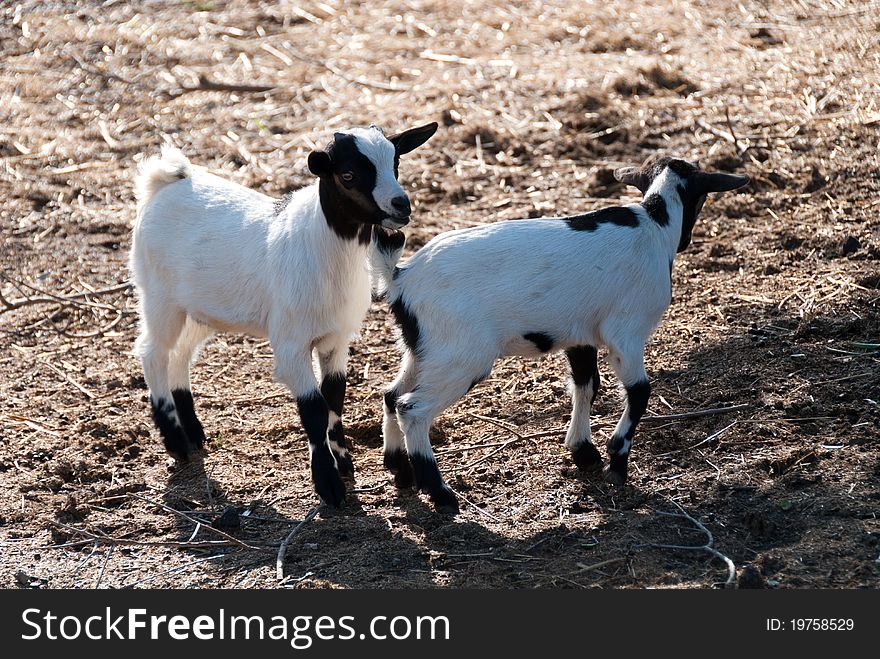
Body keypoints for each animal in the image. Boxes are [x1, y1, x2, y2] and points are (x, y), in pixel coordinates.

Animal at [131, 122, 440, 506]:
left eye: (396, 163)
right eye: (348, 175)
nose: (401, 205)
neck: (325, 247)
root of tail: (166, 181)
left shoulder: (336, 338)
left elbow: (333, 396)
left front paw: (343, 463)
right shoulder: (291, 343)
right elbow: (313, 408)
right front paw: (328, 484)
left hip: (200, 307)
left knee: (180, 354)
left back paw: (193, 431)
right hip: (159, 296)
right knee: (153, 352)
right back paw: (175, 440)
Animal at [372, 155, 748, 510]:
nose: (686, 241)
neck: (654, 225)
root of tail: (401, 277)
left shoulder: (579, 334)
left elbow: (586, 385)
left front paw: (584, 452)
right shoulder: (625, 332)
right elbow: (639, 392)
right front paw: (616, 462)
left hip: (424, 348)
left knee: (392, 395)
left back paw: (400, 470)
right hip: (461, 355)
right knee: (412, 408)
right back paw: (440, 493)